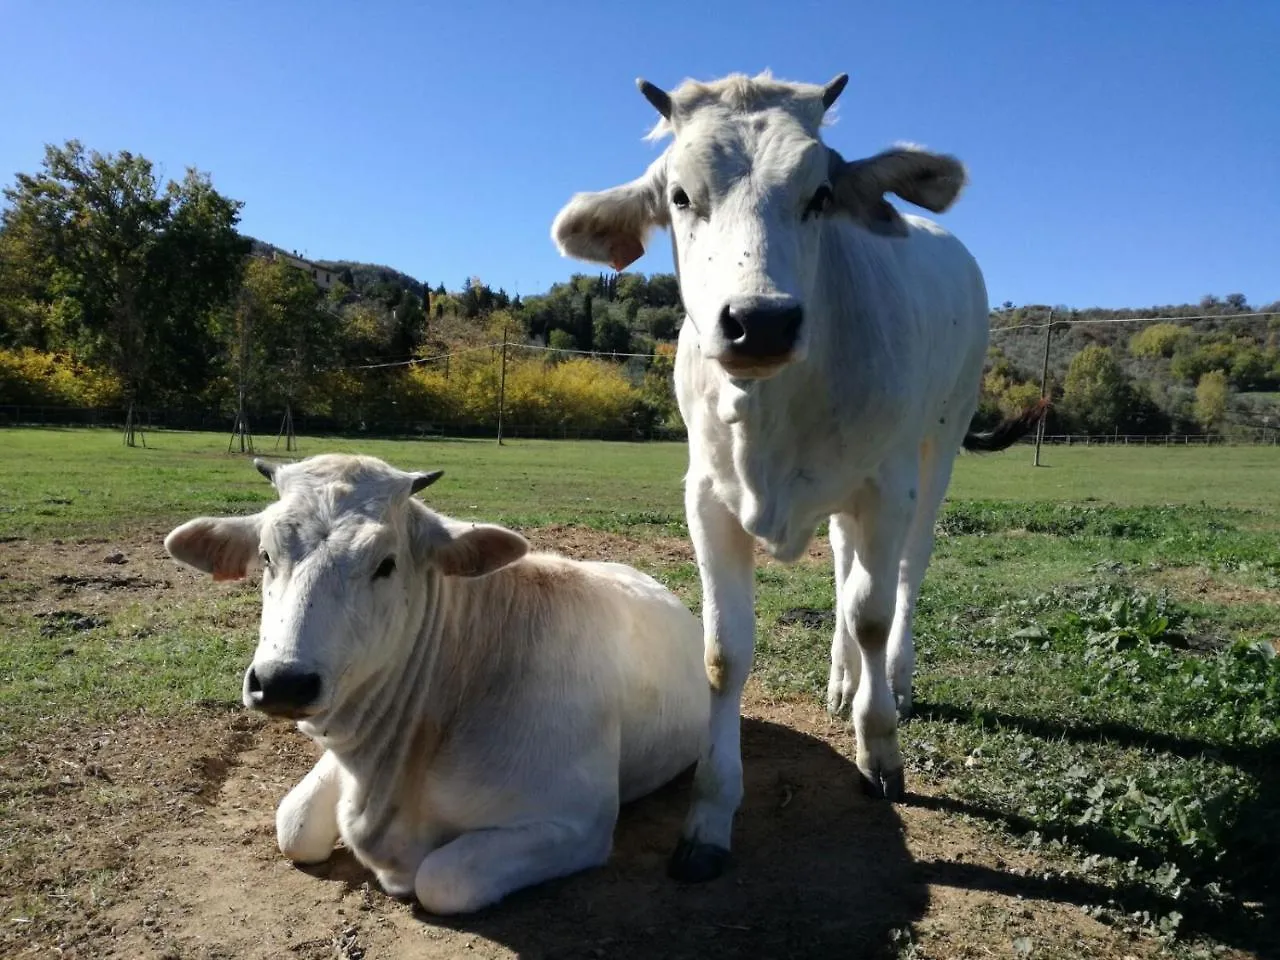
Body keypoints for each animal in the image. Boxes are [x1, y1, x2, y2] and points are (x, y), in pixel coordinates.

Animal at [161, 458, 711, 916]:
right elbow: (293, 824)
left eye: (386, 563)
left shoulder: (576, 823)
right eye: (266, 554)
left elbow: (443, 879)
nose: (281, 682)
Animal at [555, 67, 1044, 885]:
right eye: (679, 195)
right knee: (847, 569)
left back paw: (890, 678)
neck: (770, 412)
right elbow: (724, 653)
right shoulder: (707, 499)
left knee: (904, 572)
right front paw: (710, 815)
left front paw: (879, 749)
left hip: (939, 441)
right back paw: (844, 678)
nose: (761, 320)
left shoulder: (886, 486)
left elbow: (874, 611)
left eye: (820, 195)